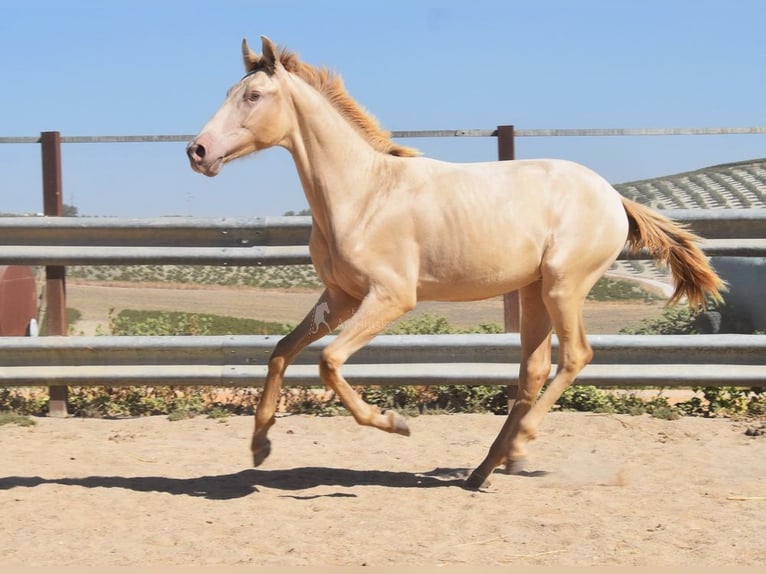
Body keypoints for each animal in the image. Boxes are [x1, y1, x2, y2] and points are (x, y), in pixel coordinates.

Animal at [188, 36, 728, 488]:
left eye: (253, 95)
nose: (197, 150)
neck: (364, 194)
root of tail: (614, 198)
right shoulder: (340, 297)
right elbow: (281, 351)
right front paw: (260, 446)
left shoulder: (391, 297)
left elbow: (328, 362)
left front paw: (394, 423)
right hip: (533, 291)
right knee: (533, 370)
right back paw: (484, 470)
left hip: (564, 286)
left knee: (576, 356)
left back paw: (517, 445)